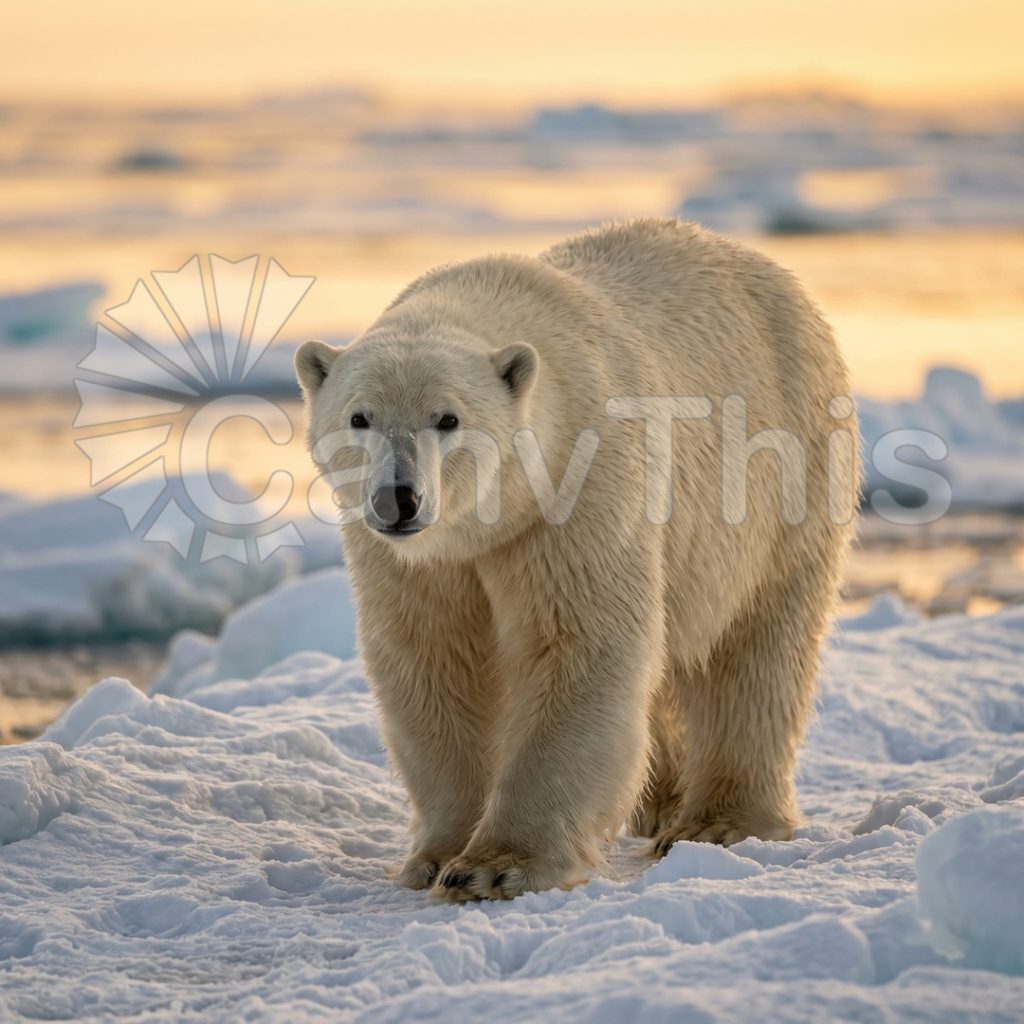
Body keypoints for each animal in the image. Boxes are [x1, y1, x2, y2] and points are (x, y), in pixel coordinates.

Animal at [296, 218, 859, 901]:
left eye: (448, 418)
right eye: (359, 417)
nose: (397, 498)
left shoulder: (576, 490)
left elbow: (581, 643)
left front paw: (496, 867)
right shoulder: (414, 562)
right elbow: (433, 660)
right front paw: (434, 855)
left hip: (787, 475)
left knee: (756, 650)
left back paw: (719, 821)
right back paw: (657, 802)